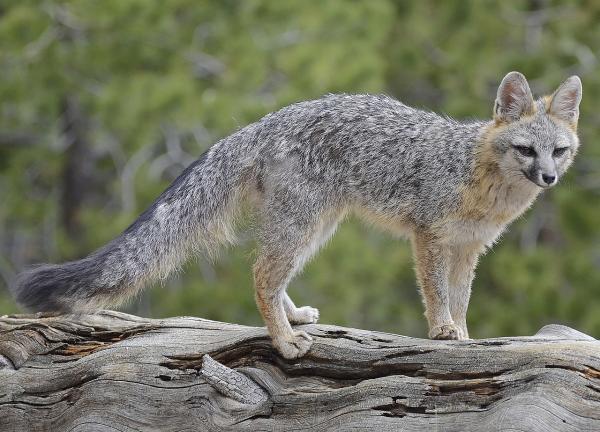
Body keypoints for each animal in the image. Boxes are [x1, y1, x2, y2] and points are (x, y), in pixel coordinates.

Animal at [11, 71, 580, 358]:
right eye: (527, 150)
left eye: (560, 152)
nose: (549, 179)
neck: (477, 177)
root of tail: (260, 123)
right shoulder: (430, 238)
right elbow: (437, 294)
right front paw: (443, 331)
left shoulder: (469, 249)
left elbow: (461, 299)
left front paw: (464, 333)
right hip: (304, 226)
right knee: (261, 275)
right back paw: (283, 341)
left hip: (316, 228)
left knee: (272, 275)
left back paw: (292, 318)